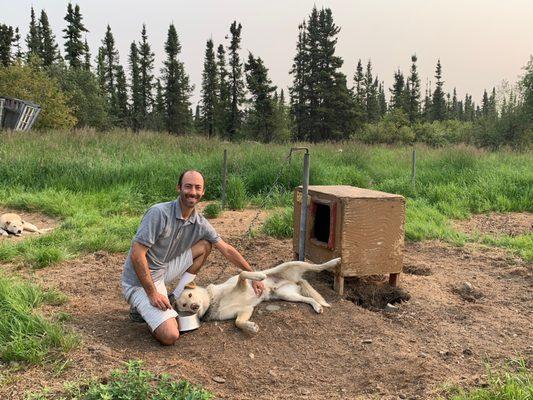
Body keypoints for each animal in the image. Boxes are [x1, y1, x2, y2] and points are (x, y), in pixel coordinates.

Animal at [175, 256, 340, 334]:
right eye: (184, 305)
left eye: (190, 295)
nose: (194, 306)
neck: (213, 300)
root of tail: (293, 280)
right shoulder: (245, 310)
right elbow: (238, 322)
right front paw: (250, 327)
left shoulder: (241, 284)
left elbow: (242, 273)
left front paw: (258, 277)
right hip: (287, 295)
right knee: (308, 298)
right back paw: (317, 306)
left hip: (291, 264)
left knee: (317, 267)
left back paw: (335, 261)